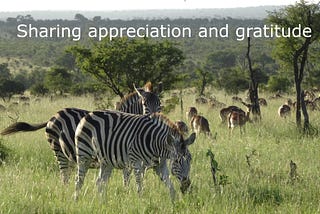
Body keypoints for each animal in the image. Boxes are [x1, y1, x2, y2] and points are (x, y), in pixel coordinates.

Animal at [0, 84, 160, 183]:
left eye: (160, 104)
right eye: (144, 104)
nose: (155, 118)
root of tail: (52, 116)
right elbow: (127, 180)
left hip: (69, 155)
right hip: (59, 151)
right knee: (64, 177)